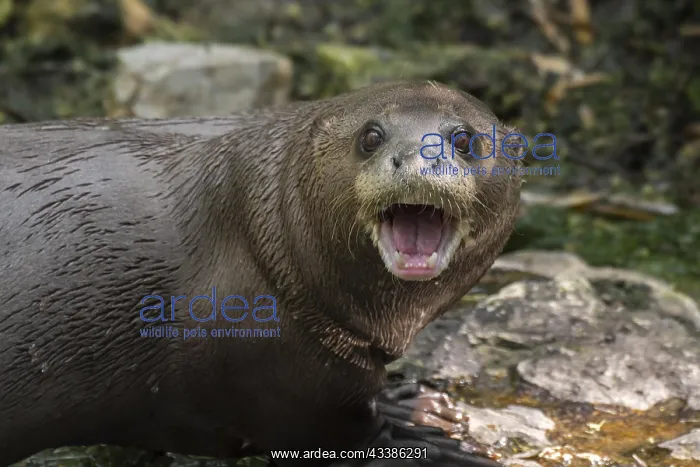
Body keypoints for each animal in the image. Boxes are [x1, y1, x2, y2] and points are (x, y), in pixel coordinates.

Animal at [0, 81, 521, 466]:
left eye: (463, 139)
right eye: (371, 136)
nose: (418, 160)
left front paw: (409, 400)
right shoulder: (280, 370)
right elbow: (339, 433)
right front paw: (432, 443)